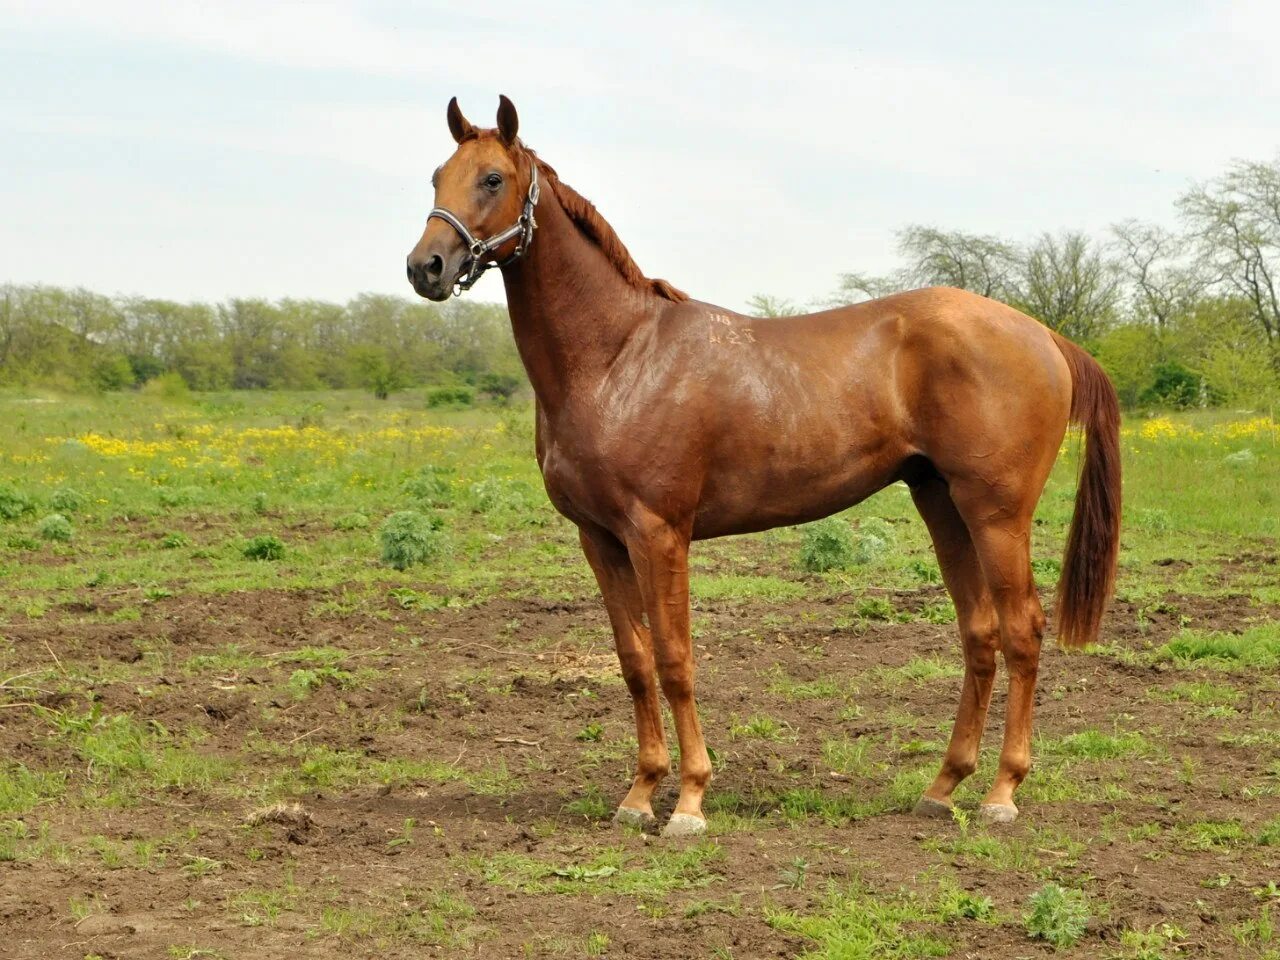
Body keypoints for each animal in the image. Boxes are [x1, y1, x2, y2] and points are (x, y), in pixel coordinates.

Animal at [409, 96, 1121, 834]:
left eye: (492, 178)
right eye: (438, 174)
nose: (425, 266)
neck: (618, 357)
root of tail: (1043, 336)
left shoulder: (658, 534)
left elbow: (675, 660)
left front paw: (689, 801)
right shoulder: (599, 539)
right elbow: (634, 662)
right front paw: (639, 794)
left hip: (996, 515)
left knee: (1022, 631)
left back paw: (1002, 792)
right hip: (942, 503)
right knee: (979, 634)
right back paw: (943, 785)